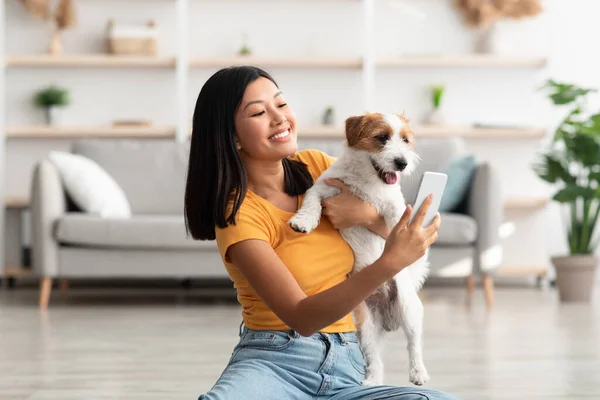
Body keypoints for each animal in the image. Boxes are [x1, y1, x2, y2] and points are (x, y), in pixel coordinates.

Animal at [290, 112, 432, 388]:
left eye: (405, 140)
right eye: (382, 137)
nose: (402, 163)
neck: (368, 182)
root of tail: (387, 318)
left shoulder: (394, 207)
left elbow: (398, 221)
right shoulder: (322, 188)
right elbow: (312, 201)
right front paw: (303, 221)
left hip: (408, 308)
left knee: (414, 344)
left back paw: (418, 372)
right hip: (364, 325)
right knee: (374, 357)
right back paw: (372, 381)